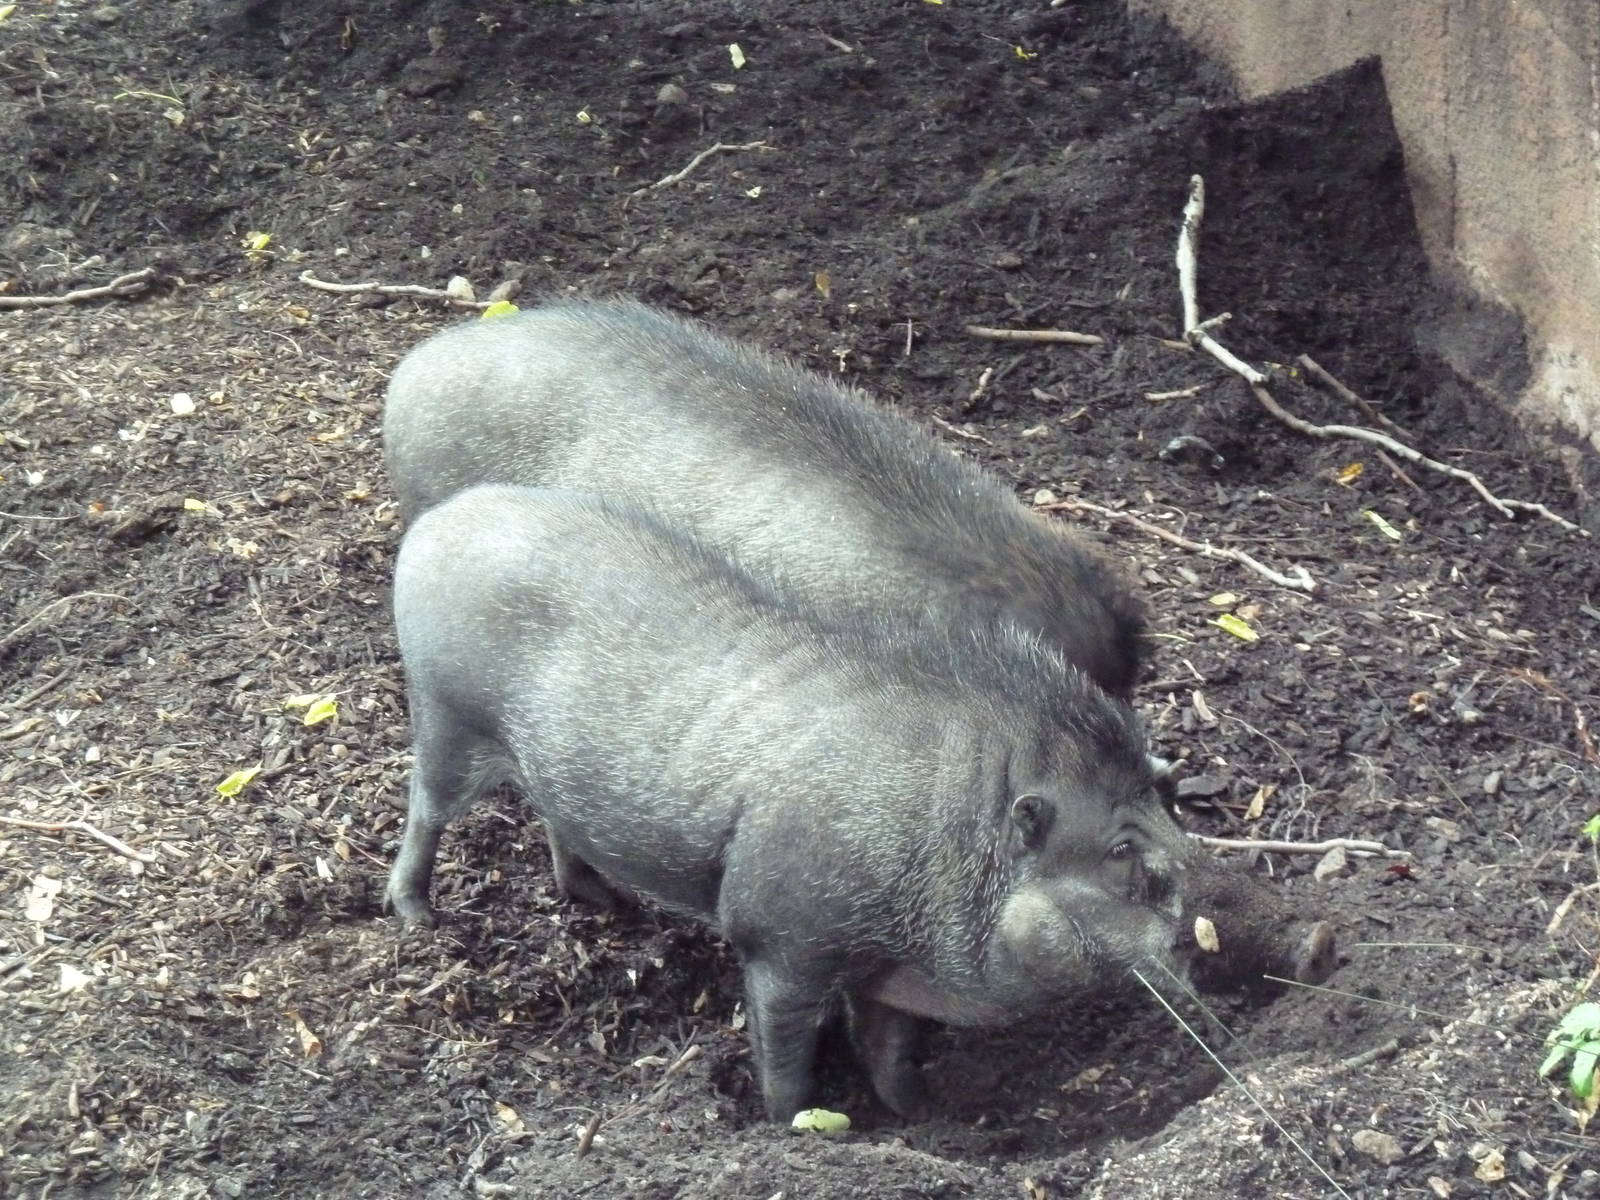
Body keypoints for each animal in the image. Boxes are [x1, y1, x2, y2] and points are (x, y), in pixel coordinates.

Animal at [385, 484, 1335, 1121]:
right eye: (1121, 852)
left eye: (1171, 804)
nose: (1322, 939)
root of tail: (441, 522)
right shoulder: (780, 940)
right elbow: (786, 1054)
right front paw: (797, 1125)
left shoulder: (888, 977)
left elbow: (891, 1055)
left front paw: (924, 1120)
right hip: (444, 714)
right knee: (425, 808)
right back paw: (417, 915)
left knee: (553, 817)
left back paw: (596, 901)